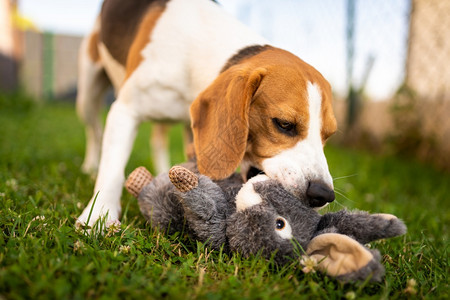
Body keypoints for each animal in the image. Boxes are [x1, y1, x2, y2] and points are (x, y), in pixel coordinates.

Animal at [76, 0, 338, 227]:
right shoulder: (125, 110)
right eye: (283, 124)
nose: (322, 193)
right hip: (87, 94)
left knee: (158, 139)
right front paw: (98, 216)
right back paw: (89, 167)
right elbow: (112, 169)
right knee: (94, 131)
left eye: (328, 135)